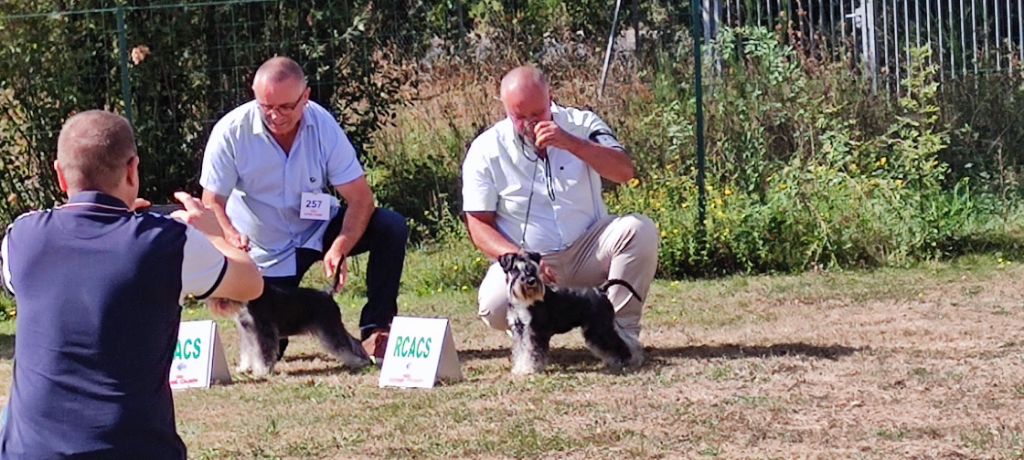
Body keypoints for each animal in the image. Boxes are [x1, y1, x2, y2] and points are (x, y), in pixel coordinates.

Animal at [215, 277, 371, 377]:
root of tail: (327, 294)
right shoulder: (247, 333)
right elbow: (248, 351)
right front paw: (243, 368)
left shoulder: (264, 332)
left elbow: (264, 353)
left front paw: (262, 371)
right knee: (354, 341)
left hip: (330, 328)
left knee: (345, 346)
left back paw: (359, 362)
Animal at [499, 251, 644, 374]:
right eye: (515, 269)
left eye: (533, 268)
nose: (531, 281)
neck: (524, 301)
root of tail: (601, 290)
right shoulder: (519, 330)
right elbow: (520, 350)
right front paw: (519, 368)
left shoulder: (534, 330)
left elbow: (531, 351)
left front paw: (528, 369)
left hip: (600, 328)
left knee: (618, 343)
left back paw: (626, 360)